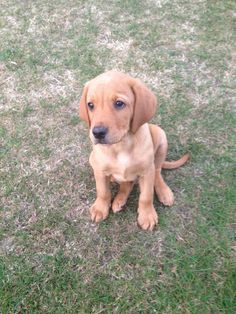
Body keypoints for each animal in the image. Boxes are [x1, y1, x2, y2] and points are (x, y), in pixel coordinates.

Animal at [79, 70, 188, 231]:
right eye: (91, 105)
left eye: (119, 103)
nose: (97, 133)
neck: (121, 145)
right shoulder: (100, 170)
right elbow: (103, 191)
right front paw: (100, 208)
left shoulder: (146, 171)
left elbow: (146, 196)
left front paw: (147, 215)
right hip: (93, 158)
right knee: (127, 184)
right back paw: (119, 200)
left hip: (160, 135)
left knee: (157, 170)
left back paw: (163, 192)